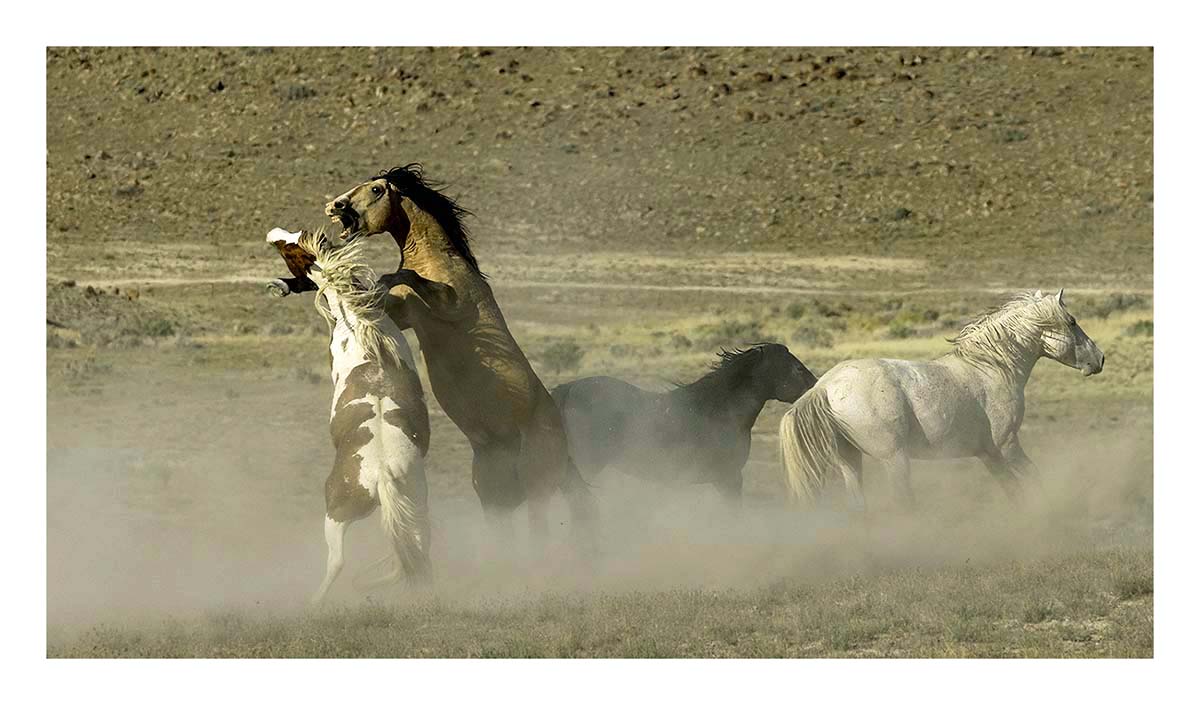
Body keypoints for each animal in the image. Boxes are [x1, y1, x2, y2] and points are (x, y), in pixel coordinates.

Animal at [266, 227, 432, 603]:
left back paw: (315, 601)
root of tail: (382, 474)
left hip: (336, 514)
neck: (360, 325)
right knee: (418, 550)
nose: (271, 234)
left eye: (290, 246)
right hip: (417, 507)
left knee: (338, 561)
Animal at [323, 164, 596, 547]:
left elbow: (405, 276)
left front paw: (380, 279)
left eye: (376, 189)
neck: (435, 260)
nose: (334, 205)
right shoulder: (405, 314)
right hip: (495, 497)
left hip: (537, 488)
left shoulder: (449, 304)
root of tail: (562, 443)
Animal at [779, 289, 1104, 510]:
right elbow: (1034, 478)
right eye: (1072, 321)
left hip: (850, 459)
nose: (1099, 359)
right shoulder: (1007, 444)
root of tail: (825, 386)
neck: (991, 367)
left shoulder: (989, 454)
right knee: (902, 503)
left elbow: (1012, 489)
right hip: (894, 459)